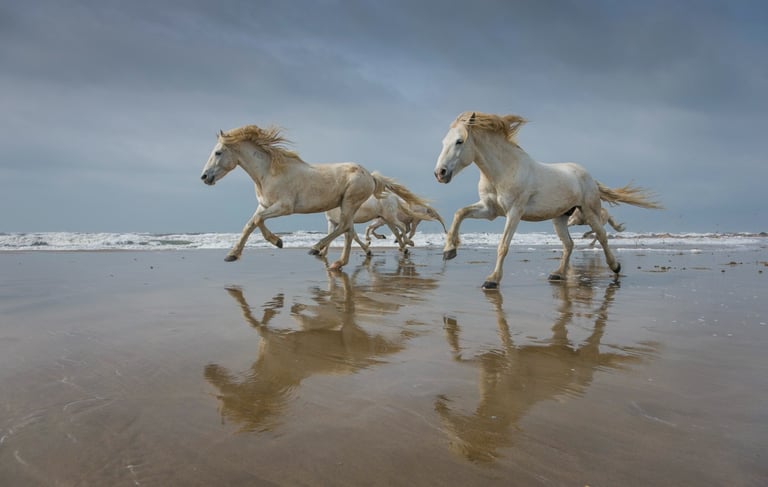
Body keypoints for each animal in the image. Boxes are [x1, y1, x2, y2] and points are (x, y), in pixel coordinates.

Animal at [200, 124, 426, 270]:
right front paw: (232, 254)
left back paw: (316, 248)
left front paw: (277, 242)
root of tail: (370, 175)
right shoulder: (264, 205)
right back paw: (338, 263)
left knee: (346, 228)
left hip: (350, 203)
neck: (269, 173)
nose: (204, 177)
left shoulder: (284, 207)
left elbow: (257, 221)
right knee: (348, 231)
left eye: (218, 152)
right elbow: (250, 224)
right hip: (349, 206)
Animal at [433, 112, 662, 289]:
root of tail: (588, 176)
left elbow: (503, 245)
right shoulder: (489, 210)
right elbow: (459, 213)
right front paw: (449, 251)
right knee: (569, 244)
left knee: (602, 236)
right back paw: (557, 274)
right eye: (443, 142)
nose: (439, 173)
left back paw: (615, 267)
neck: (503, 171)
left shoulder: (514, 212)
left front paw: (492, 280)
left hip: (589, 211)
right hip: (560, 217)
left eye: (459, 141)